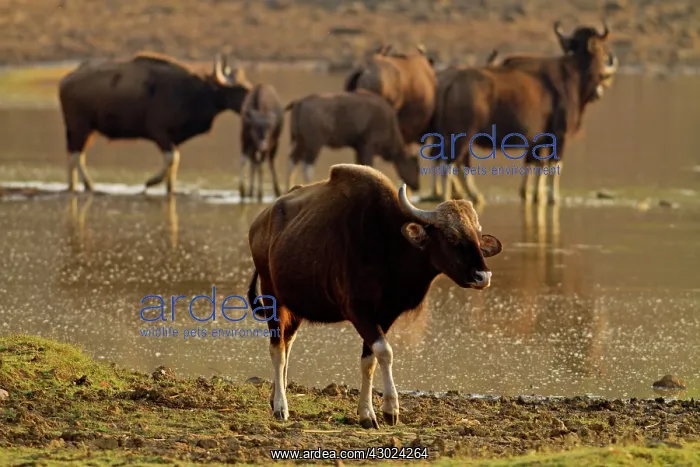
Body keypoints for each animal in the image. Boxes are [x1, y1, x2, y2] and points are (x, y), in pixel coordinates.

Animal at [58, 53, 252, 195]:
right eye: (240, 89)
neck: (192, 93)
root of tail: (65, 80)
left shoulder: (172, 138)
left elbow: (174, 163)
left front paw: (170, 189)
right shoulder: (160, 133)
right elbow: (172, 158)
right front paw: (151, 182)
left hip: (86, 130)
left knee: (73, 155)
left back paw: (73, 186)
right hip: (80, 126)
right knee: (76, 155)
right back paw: (89, 185)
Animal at [247, 163, 503, 426]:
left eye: (477, 236)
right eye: (451, 236)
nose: (483, 276)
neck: (388, 247)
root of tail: (260, 223)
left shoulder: (385, 315)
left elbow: (369, 360)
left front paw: (367, 413)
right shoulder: (359, 312)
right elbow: (385, 352)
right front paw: (390, 409)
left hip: (295, 306)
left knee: (287, 344)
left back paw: (276, 396)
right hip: (272, 298)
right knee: (277, 349)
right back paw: (281, 406)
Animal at [283, 91, 420, 192]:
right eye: (416, 167)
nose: (416, 186)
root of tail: (300, 101)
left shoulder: (358, 148)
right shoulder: (368, 146)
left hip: (300, 142)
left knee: (292, 161)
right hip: (314, 144)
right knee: (307, 166)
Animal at [426, 20, 618, 205]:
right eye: (601, 48)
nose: (602, 85)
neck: (572, 75)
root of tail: (449, 80)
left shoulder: (538, 140)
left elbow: (536, 165)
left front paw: (533, 194)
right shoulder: (559, 136)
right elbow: (554, 165)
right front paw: (552, 197)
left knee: (450, 162)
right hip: (461, 137)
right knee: (448, 164)